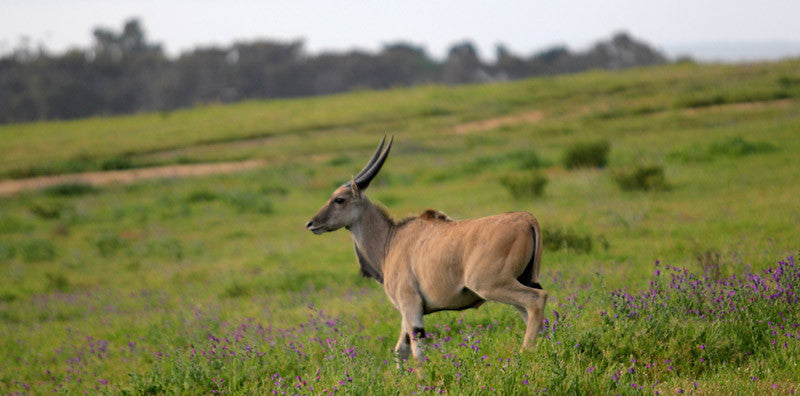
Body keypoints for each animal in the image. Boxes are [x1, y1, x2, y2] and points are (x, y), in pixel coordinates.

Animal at [304, 136, 548, 362]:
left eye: (339, 199)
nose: (311, 223)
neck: (390, 241)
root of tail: (526, 219)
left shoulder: (410, 304)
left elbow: (417, 350)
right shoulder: (407, 310)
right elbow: (400, 350)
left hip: (491, 285)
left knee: (537, 299)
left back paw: (526, 352)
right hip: (519, 282)